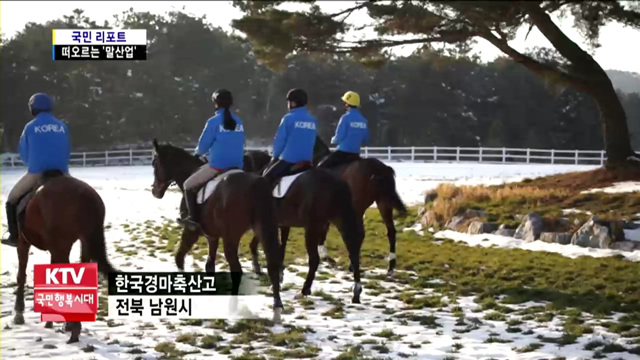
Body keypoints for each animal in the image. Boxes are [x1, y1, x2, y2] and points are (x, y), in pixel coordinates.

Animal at [10, 170, 119, 344]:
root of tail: (84, 196)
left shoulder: (23, 241)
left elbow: (21, 275)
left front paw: (19, 313)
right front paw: (50, 319)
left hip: (61, 246)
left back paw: (74, 329)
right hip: (83, 242)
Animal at [151, 139, 284, 322]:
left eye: (155, 163)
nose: (154, 191)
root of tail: (256, 183)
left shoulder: (191, 232)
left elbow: (179, 258)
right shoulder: (212, 236)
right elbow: (209, 266)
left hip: (231, 238)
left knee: (237, 270)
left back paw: (233, 307)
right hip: (265, 230)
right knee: (273, 264)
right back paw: (277, 306)